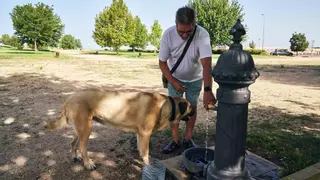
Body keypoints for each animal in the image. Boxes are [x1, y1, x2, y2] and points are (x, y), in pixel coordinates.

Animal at [43, 88, 194, 170]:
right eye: (190, 107)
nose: (195, 111)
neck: (164, 105)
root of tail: (69, 99)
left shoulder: (140, 133)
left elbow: (141, 149)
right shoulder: (145, 133)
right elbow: (145, 152)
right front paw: (147, 164)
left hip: (80, 129)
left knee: (72, 143)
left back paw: (75, 157)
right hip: (86, 128)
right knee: (82, 147)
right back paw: (88, 163)